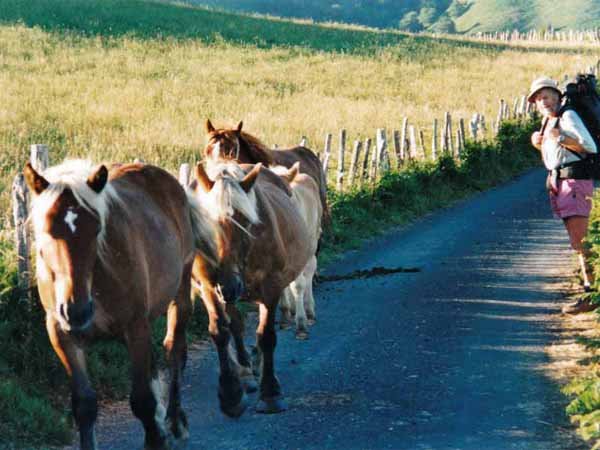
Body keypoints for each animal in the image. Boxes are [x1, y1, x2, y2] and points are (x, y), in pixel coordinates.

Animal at [25, 160, 220, 450]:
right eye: (46, 230)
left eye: (96, 229)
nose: (76, 311)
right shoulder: (61, 334)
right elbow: (84, 405)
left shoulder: (134, 327)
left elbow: (142, 400)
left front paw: (156, 438)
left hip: (180, 290)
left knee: (174, 351)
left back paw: (175, 422)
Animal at [190, 161, 312, 414]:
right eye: (206, 223)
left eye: (246, 221)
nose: (228, 285)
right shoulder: (208, 287)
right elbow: (221, 331)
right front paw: (230, 393)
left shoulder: (271, 287)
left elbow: (266, 335)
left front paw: (270, 393)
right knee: (236, 325)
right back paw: (246, 372)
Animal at [272, 163, 324, 340]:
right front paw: (285, 316)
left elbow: (299, 284)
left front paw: (301, 324)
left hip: (312, 243)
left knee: (309, 271)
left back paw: (309, 310)